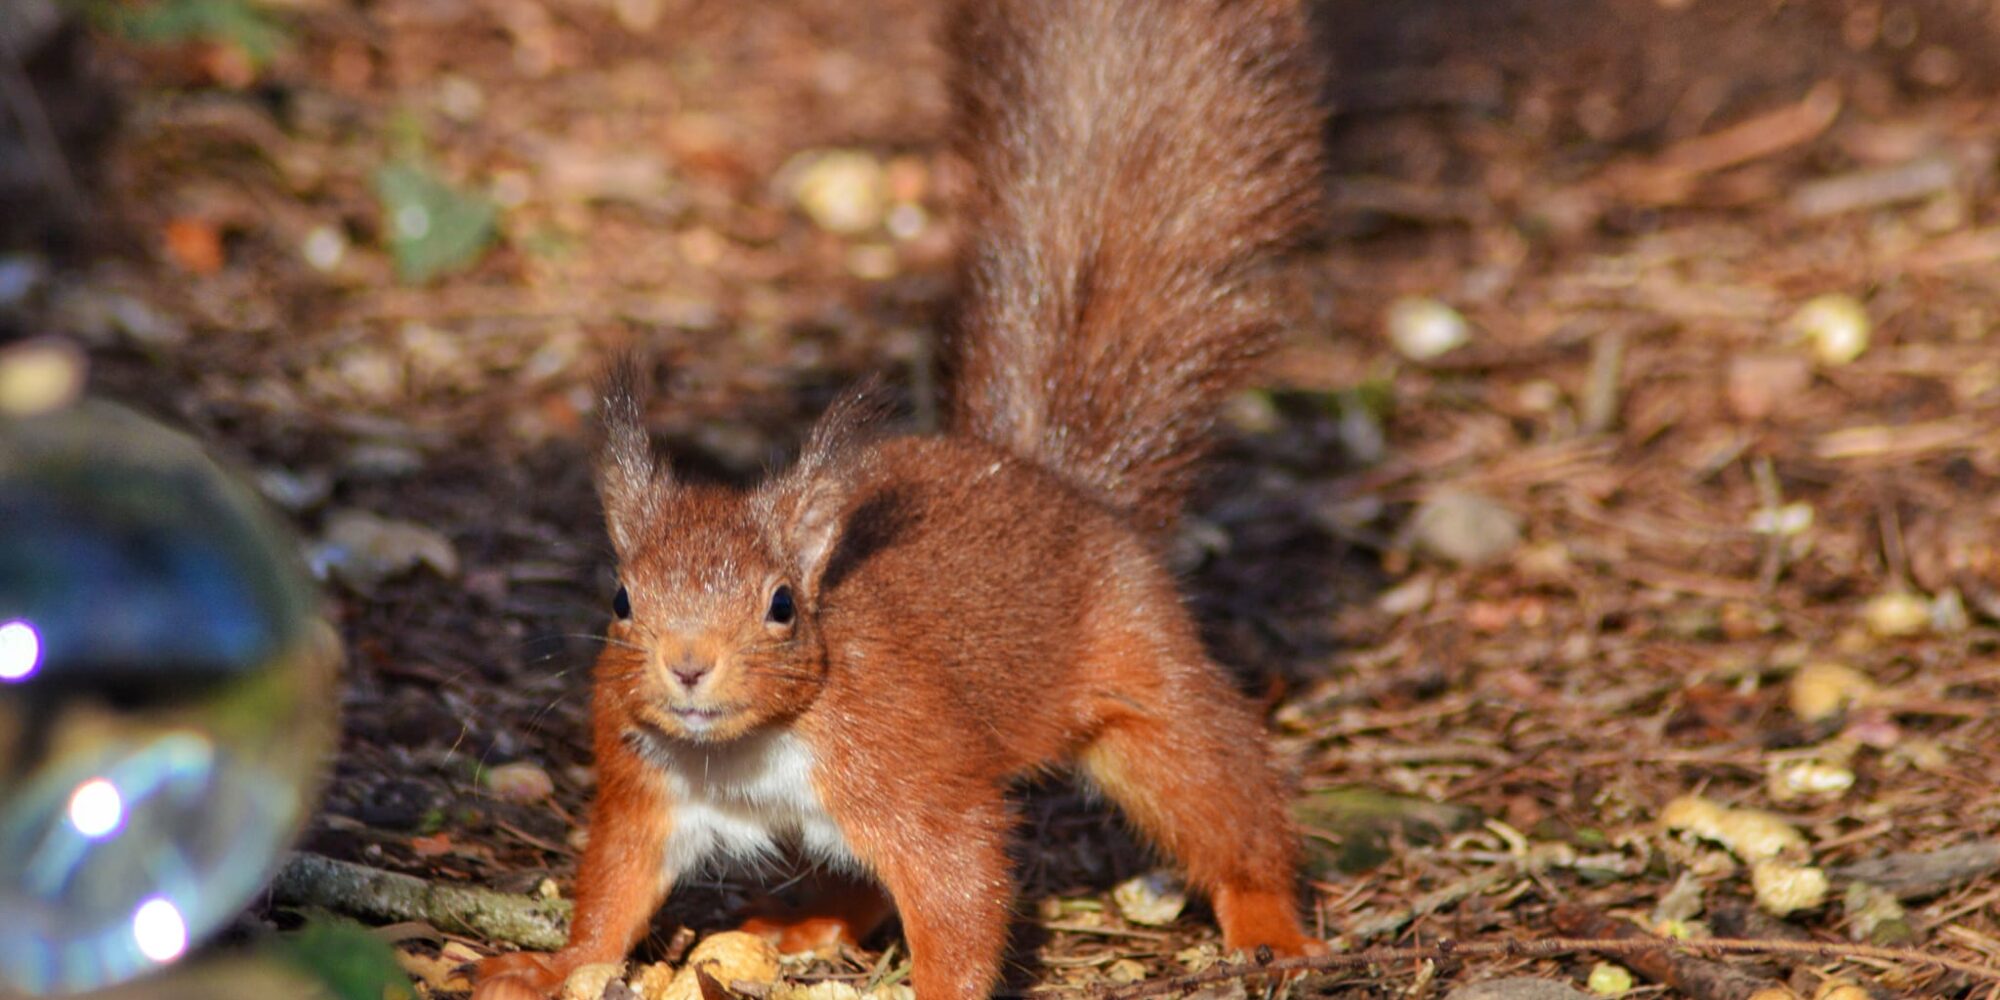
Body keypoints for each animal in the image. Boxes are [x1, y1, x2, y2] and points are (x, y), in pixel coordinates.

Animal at [478, 0, 1328, 992]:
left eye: (782, 605)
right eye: (621, 597)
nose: (686, 665)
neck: (744, 749)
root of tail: (1046, 477)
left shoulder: (914, 768)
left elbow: (959, 884)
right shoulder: (644, 783)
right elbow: (614, 890)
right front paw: (549, 967)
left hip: (1143, 672)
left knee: (1218, 790)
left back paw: (1271, 922)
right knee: (856, 879)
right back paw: (806, 924)